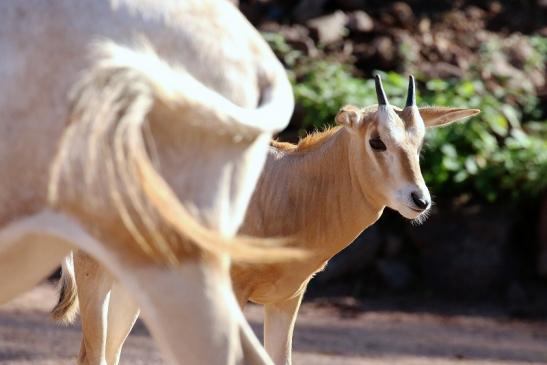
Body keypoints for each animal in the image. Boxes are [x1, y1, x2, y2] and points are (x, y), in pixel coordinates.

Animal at [55, 74, 480, 364]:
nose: (419, 200)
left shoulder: (287, 300)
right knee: (93, 354)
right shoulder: (233, 294)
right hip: (97, 275)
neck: (293, 188)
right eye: (377, 140)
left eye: (419, 143)